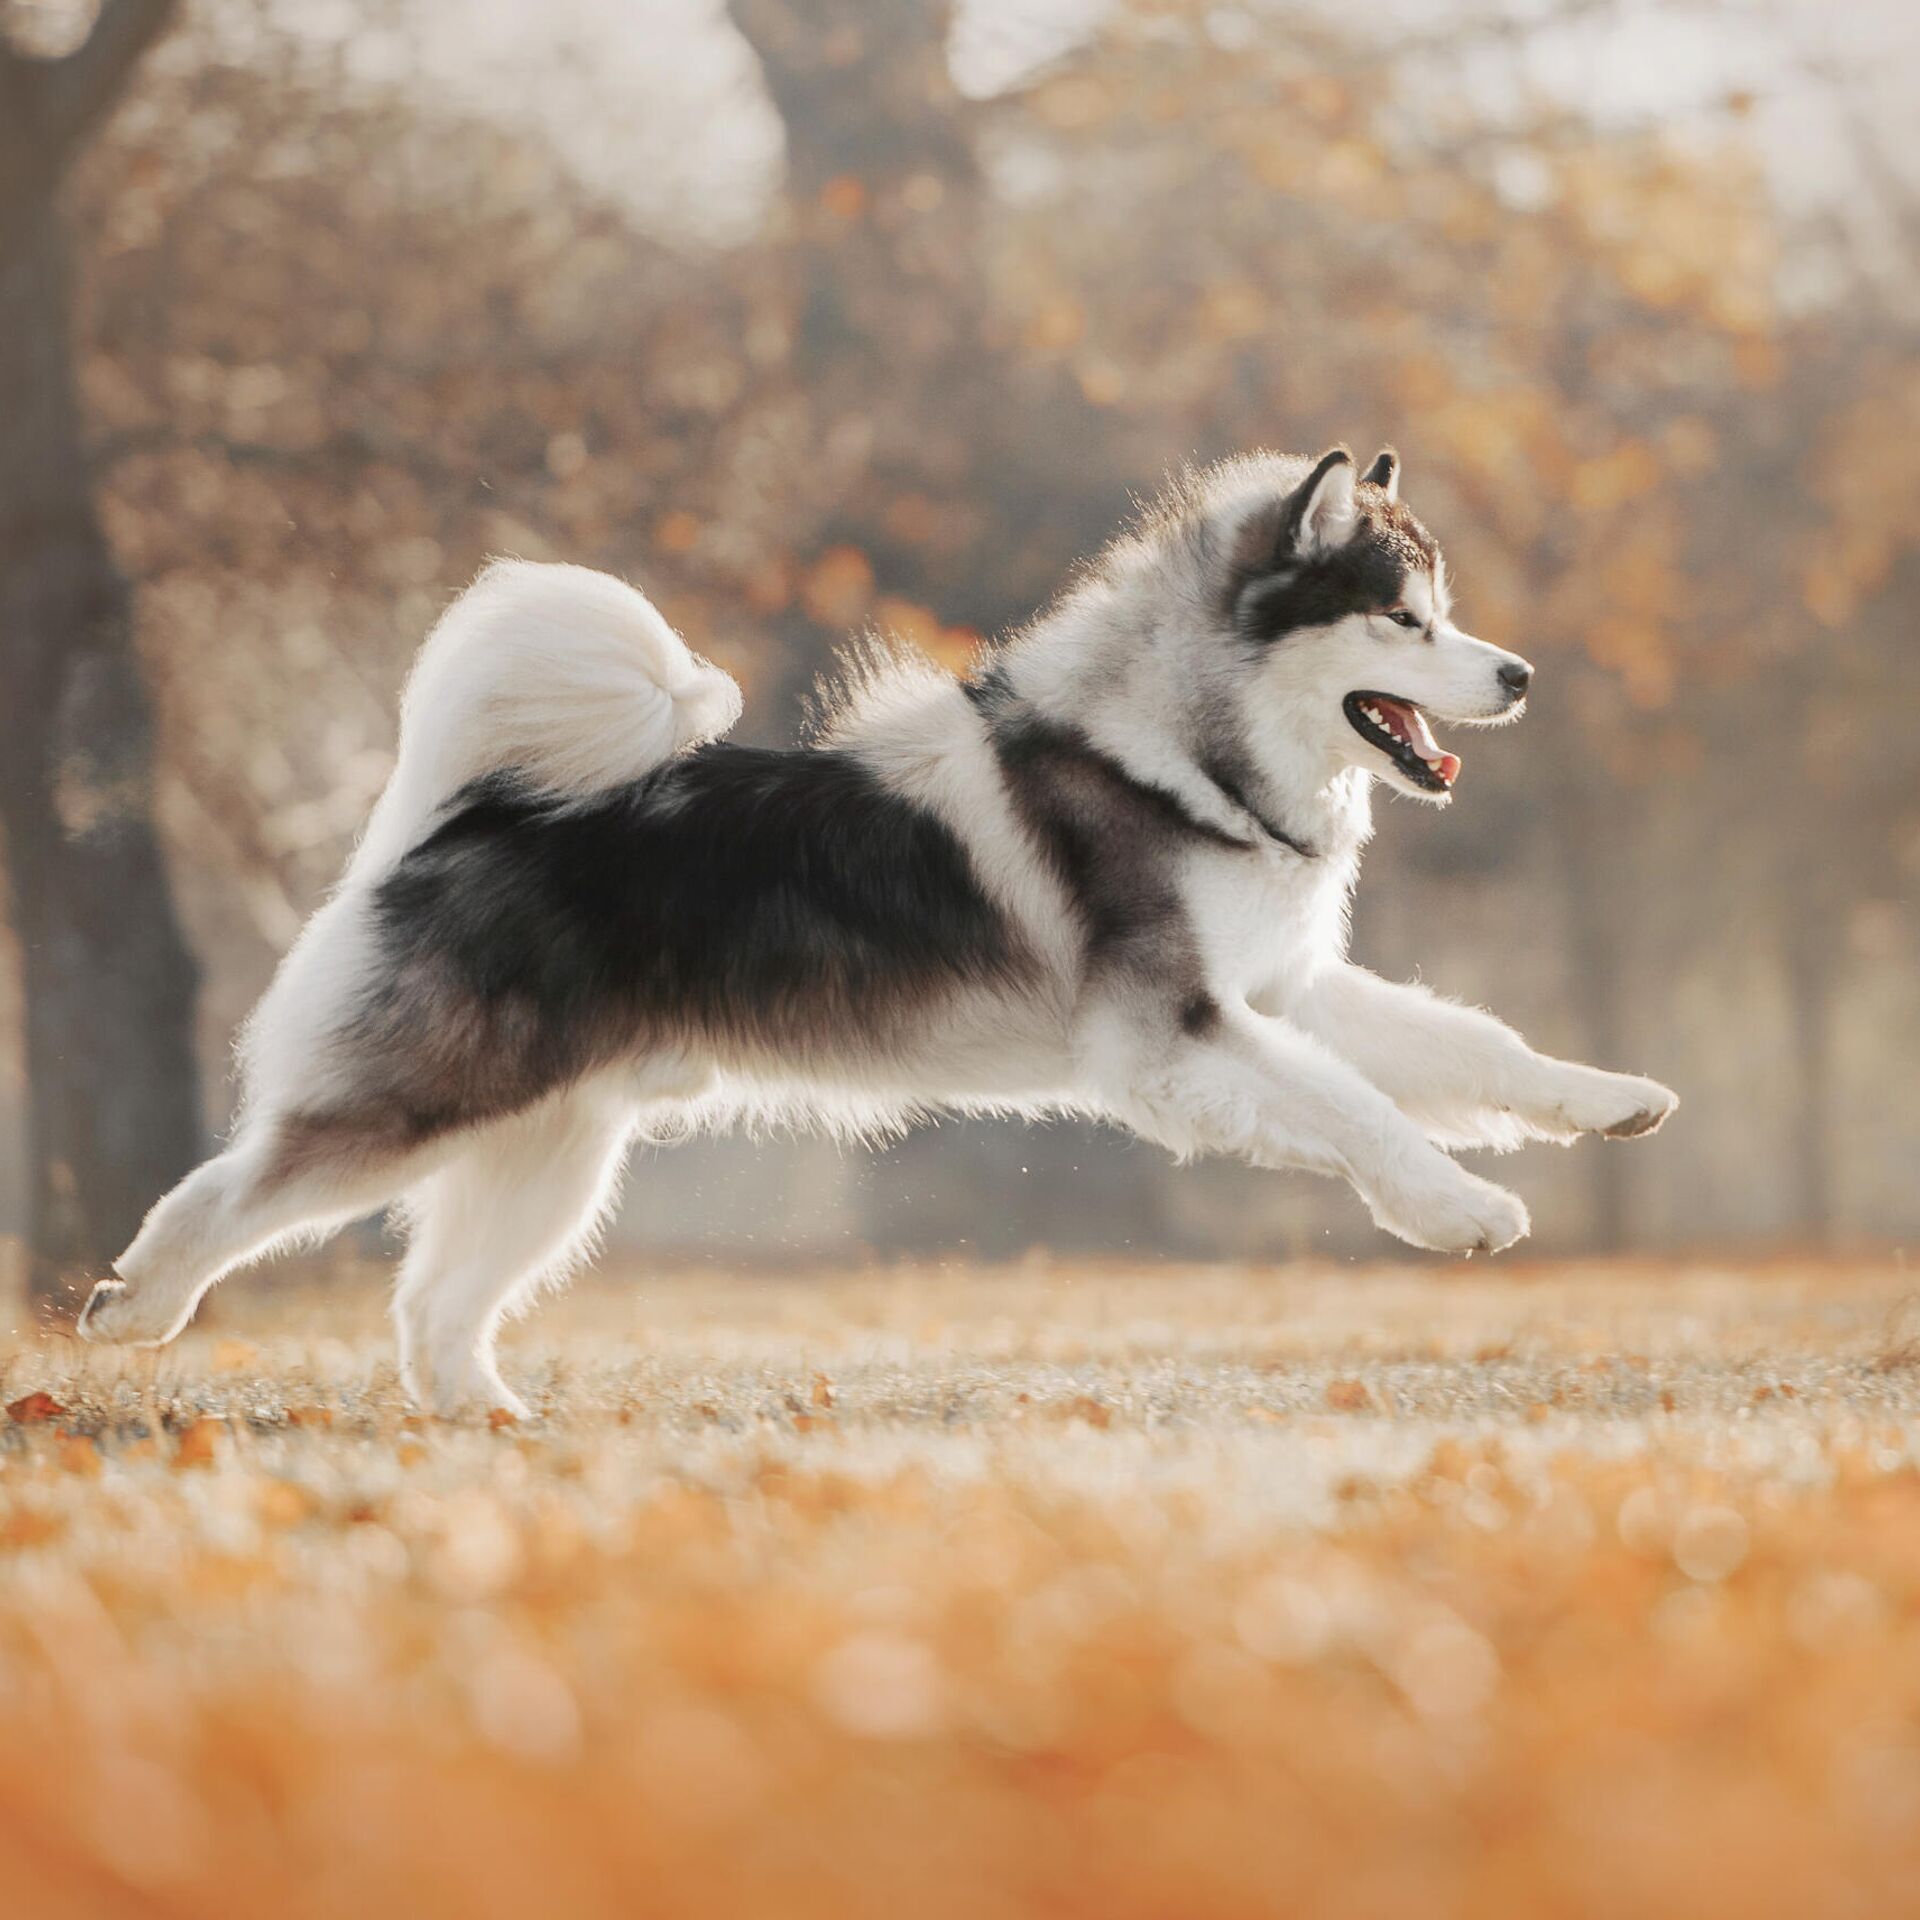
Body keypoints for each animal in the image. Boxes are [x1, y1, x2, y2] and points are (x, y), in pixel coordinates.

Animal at [82, 445, 1681, 1413]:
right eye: (1404, 620)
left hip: (554, 1152)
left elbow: (1475, 1048)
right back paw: (133, 1308)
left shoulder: (1282, 988)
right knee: (225, 1191)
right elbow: (1360, 1108)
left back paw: (492, 1424)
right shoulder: (1174, 1039)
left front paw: (1609, 1101)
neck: (1180, 756)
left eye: (1446, 613)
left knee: (433, 1307)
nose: (1522, 675)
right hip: (428, 1100)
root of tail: (466, 812)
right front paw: (1458, 1208)